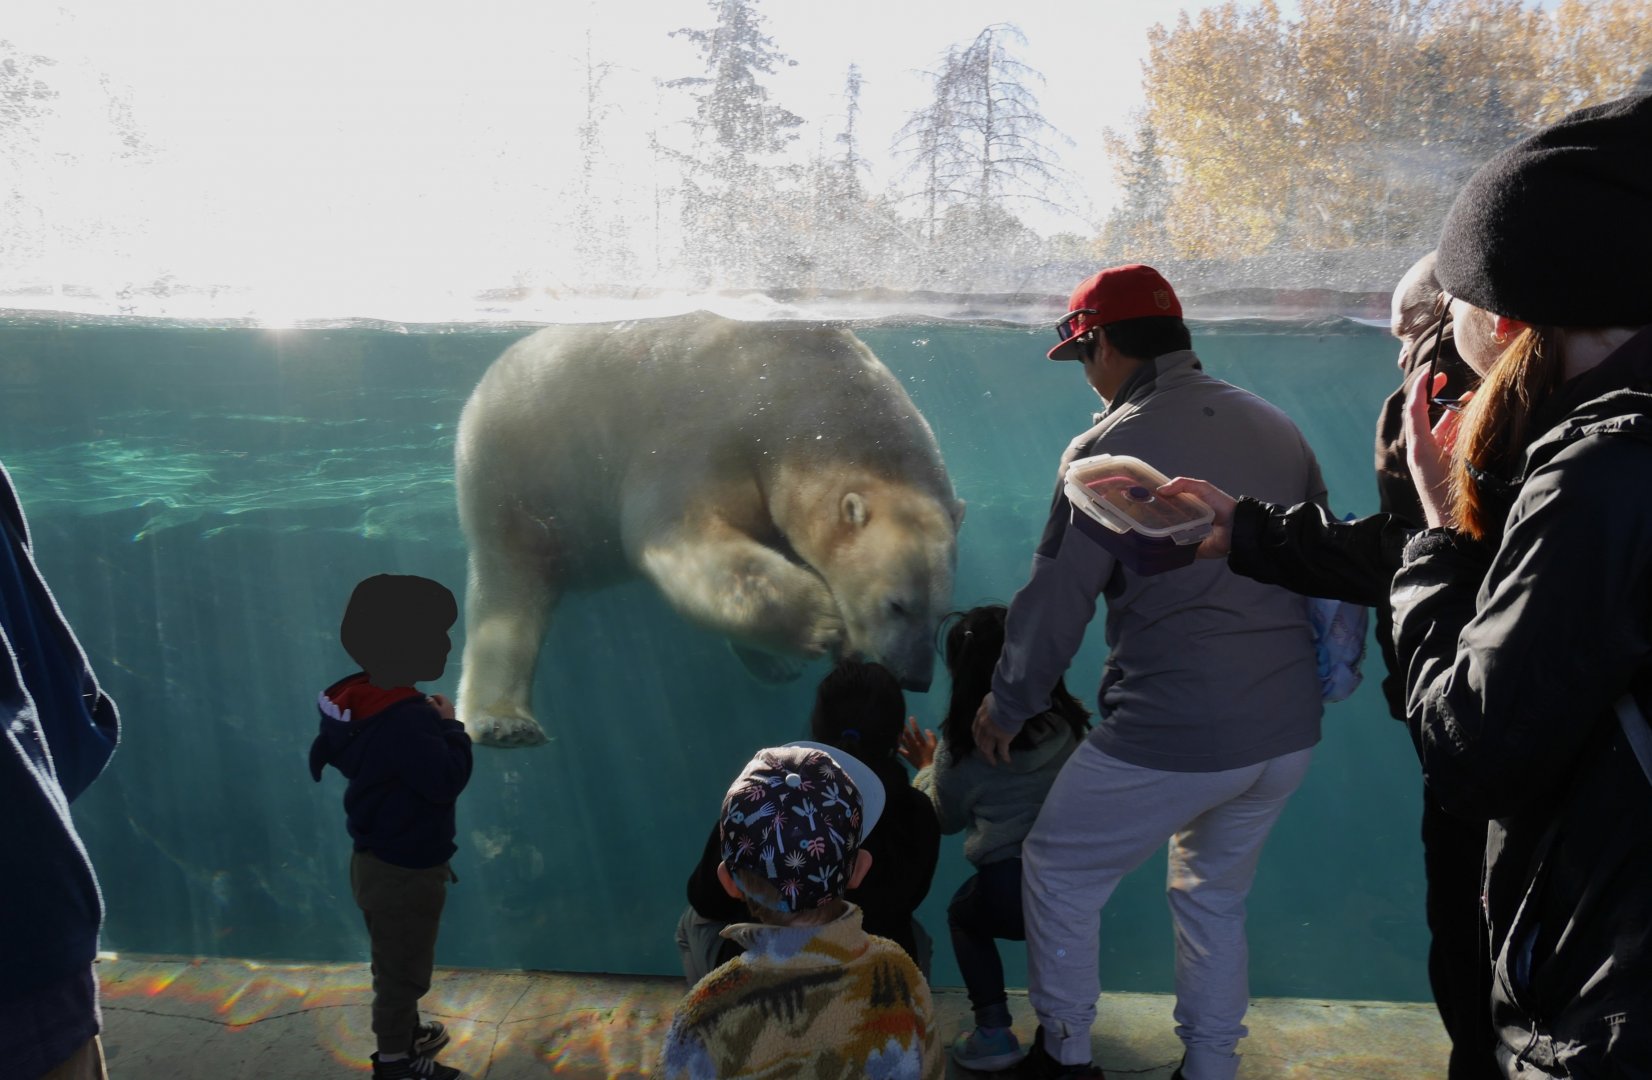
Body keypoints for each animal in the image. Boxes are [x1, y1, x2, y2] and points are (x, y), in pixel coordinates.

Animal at [453, 311, 965, 748]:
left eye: (941, 614)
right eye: (896, 605)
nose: (916, 678)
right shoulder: (705, 429)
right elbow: (677, 532)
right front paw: (823, 621)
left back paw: (775, 665)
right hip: (517, 481)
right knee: (510, 596)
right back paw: (505, 722)